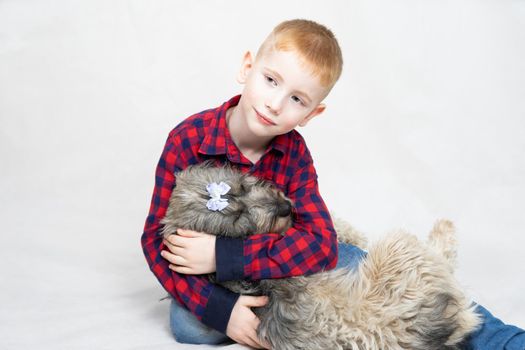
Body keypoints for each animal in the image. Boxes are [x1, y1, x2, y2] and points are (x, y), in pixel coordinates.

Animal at [162, 162, 482, 350]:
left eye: (244, 185)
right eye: (239, 218)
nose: (284, 207)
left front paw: (350, 233)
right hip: (397, 249)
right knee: (441, 258)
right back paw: (444, 228)